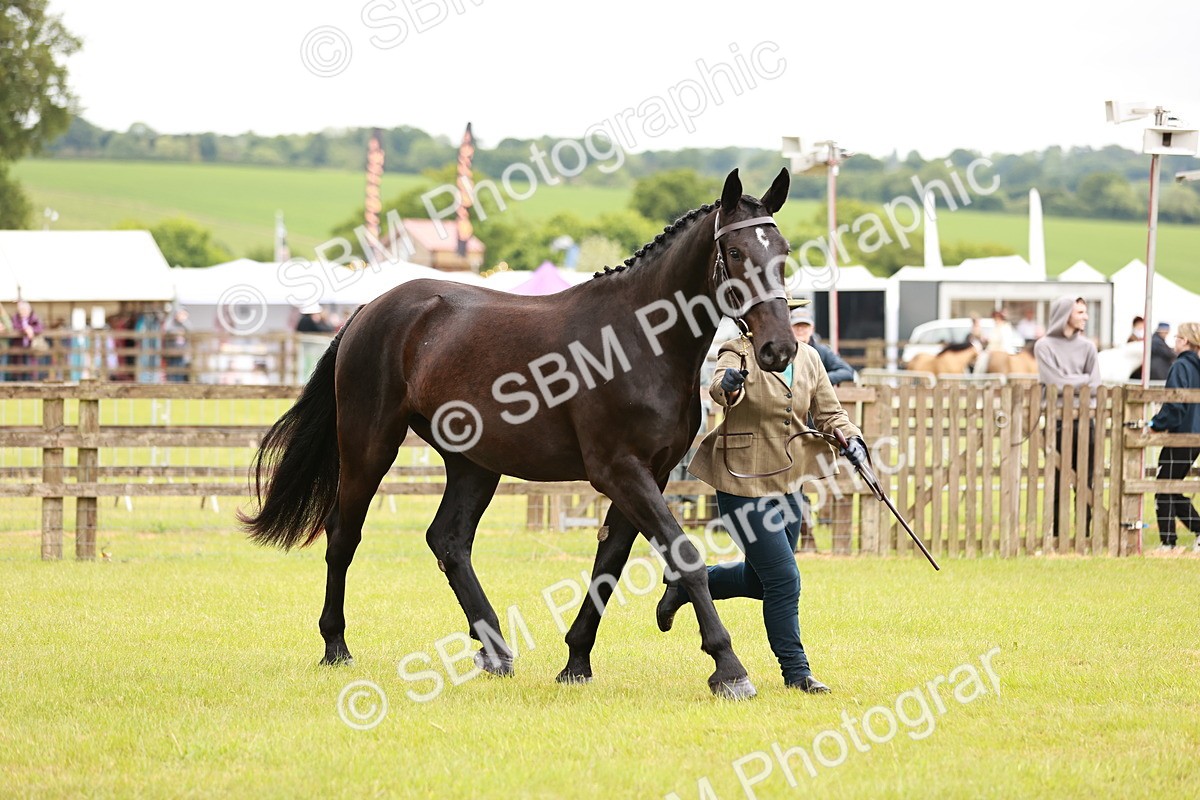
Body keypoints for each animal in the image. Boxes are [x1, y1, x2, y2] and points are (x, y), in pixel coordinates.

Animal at [239, 168, 798, 700]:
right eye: (735, 252)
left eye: (784, 253)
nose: (780, 349)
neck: (638, 341)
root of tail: (369, 310)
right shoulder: (620, 471)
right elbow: (683, 556)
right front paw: (728, 667)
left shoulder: (650, 475)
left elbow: (611, 562)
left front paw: (576, 661)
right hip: (368, 447)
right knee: (344, 535)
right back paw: (336, 645)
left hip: (473, 463)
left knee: (449, 540)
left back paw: (494, 648)